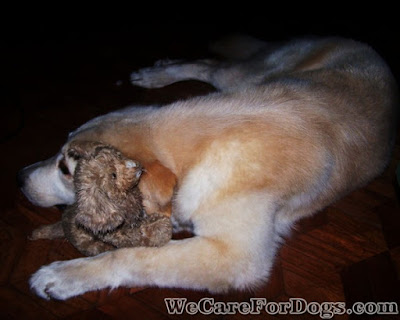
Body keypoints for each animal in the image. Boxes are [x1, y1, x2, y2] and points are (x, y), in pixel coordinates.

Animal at [18, 35, 396, 300]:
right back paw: (156, 73)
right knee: (207, 65)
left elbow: (131, 257)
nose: (19, 178)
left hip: (250, 75)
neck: (202, 148)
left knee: (211, 64)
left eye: (66, 169)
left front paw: (64, 275)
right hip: (248, 77)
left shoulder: (237, 257)